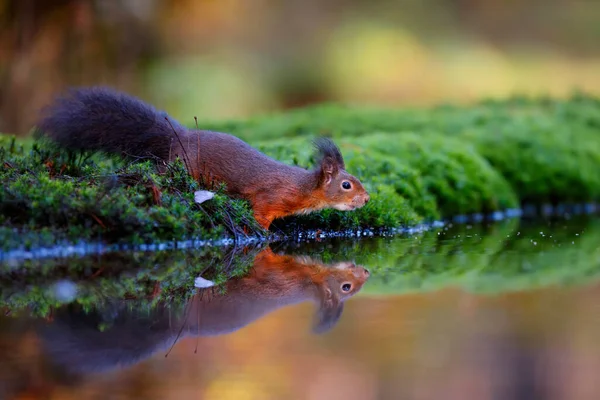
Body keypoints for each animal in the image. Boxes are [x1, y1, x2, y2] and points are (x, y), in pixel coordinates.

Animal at [36, 86, 370, 228]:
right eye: (346, 185)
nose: (367, 199)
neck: (303, 188)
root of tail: (180, 137)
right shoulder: (270, 197)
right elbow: (260, 214)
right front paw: (260, 234)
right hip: (181, 165)